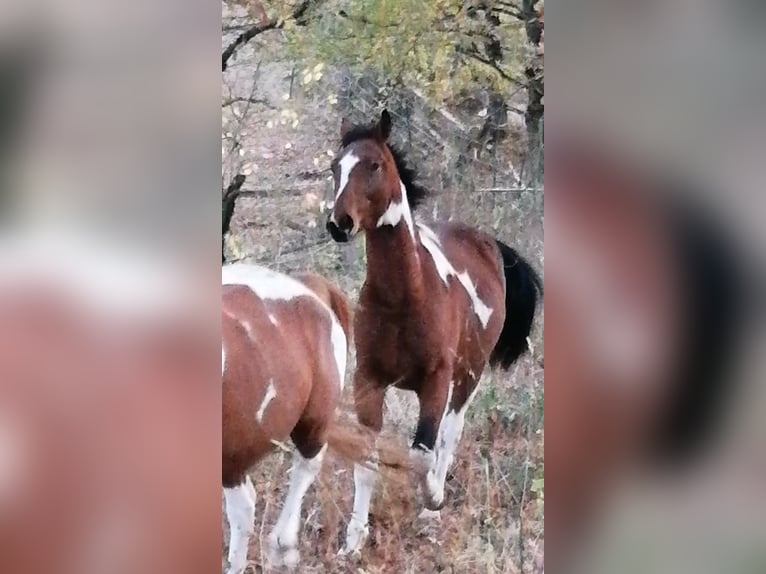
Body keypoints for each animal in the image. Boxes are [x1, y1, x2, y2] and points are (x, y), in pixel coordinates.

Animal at [328, 110, 544, 556]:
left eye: (374, 164)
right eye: (335, 167)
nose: (339, 224)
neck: (404, 298)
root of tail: (488, 242)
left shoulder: (435, 381)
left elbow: (423, 454)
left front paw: (432, 499)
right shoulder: (368, 381)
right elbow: (366, 459)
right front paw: (353, 539)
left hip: (467, 377)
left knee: (449, 432)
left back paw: (433, 503)